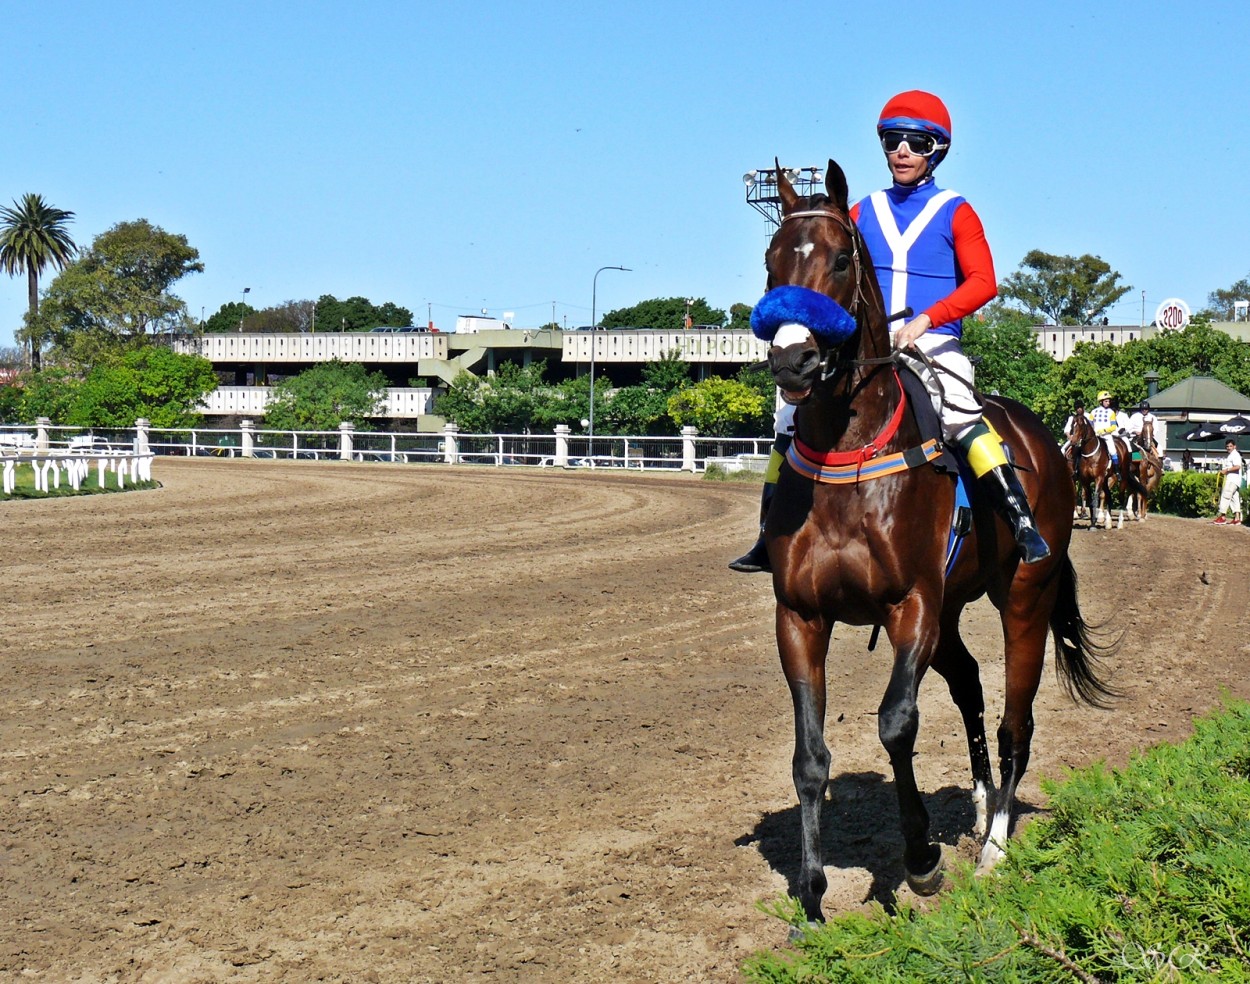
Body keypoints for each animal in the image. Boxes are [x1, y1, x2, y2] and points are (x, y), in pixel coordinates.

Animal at [750, 161, 1115, 925]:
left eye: (839, 258)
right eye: (771, 261)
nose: (794, 361)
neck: (847, 459)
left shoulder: (909, 605)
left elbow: (897, 724)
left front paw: (920, 863)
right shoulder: (799, 616)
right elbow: (810, 757)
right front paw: (812, 901)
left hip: (1023, 599)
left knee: (1014, 721)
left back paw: (996, 846)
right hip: (950, 613)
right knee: (972, 688)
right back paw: (976, 809)